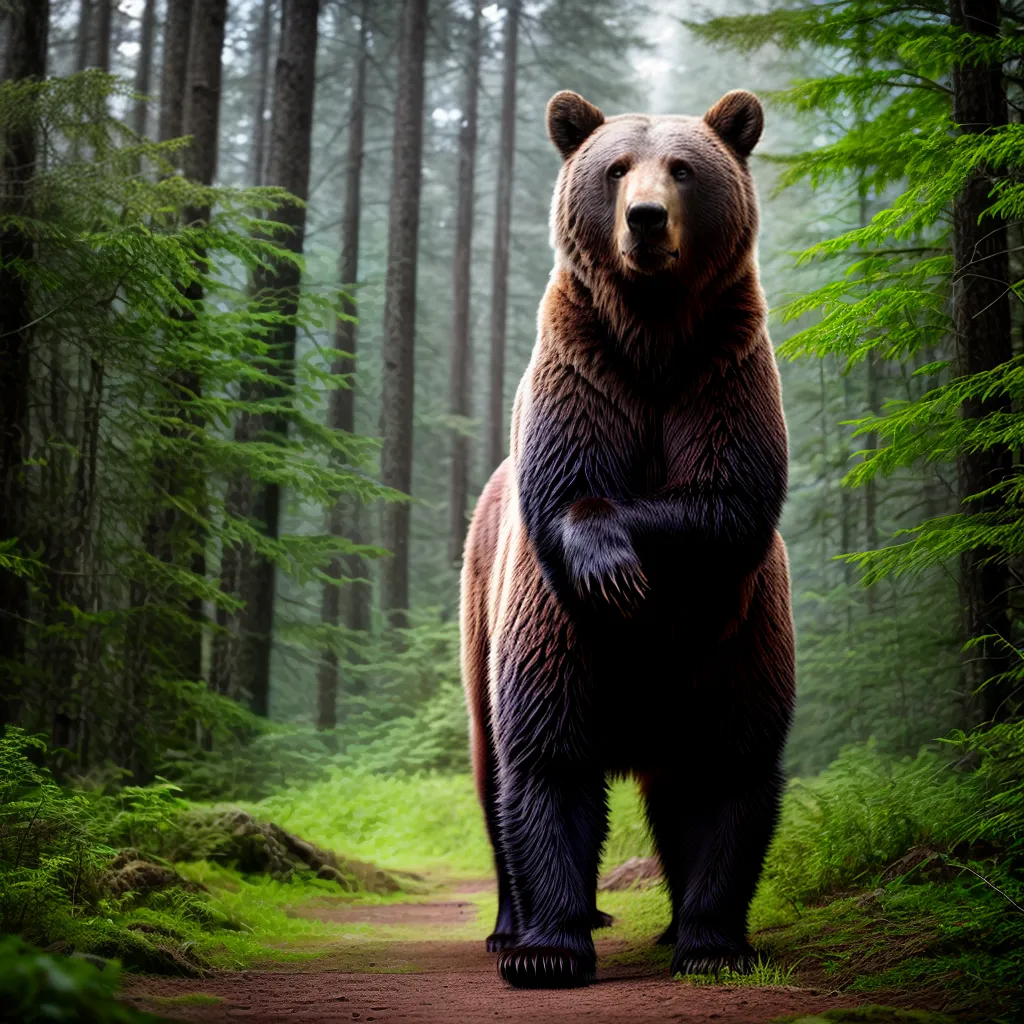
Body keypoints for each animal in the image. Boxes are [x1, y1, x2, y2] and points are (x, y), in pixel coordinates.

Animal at [460, 88, 795, 990]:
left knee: (717, 759)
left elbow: (726, 500)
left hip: (733, 640)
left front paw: (715, 942)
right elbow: (551, 760)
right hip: (504, 616)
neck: (653, 336)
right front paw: (550, 949)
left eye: (681, 168)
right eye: (615, 168)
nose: (645, 220)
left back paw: (685, 925)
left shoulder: (722, 376)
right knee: (507, 763)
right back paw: (515, 927)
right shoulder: (584, 372)